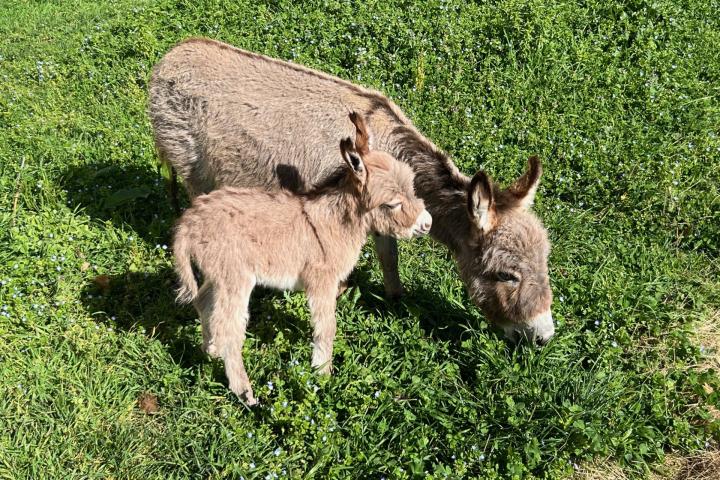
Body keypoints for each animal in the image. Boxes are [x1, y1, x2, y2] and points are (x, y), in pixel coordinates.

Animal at [172, 113, 430, 404]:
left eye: (411, 186)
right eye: (392, 204)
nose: (427, 224)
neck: (337, 220)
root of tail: (188, 224)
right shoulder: (322, 281)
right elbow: (326, 327)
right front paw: (322, 373)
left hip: (219, 277)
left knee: (203, 303)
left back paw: (211, 350)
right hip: (235, 279)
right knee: (229, 329)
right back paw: (244, 392)